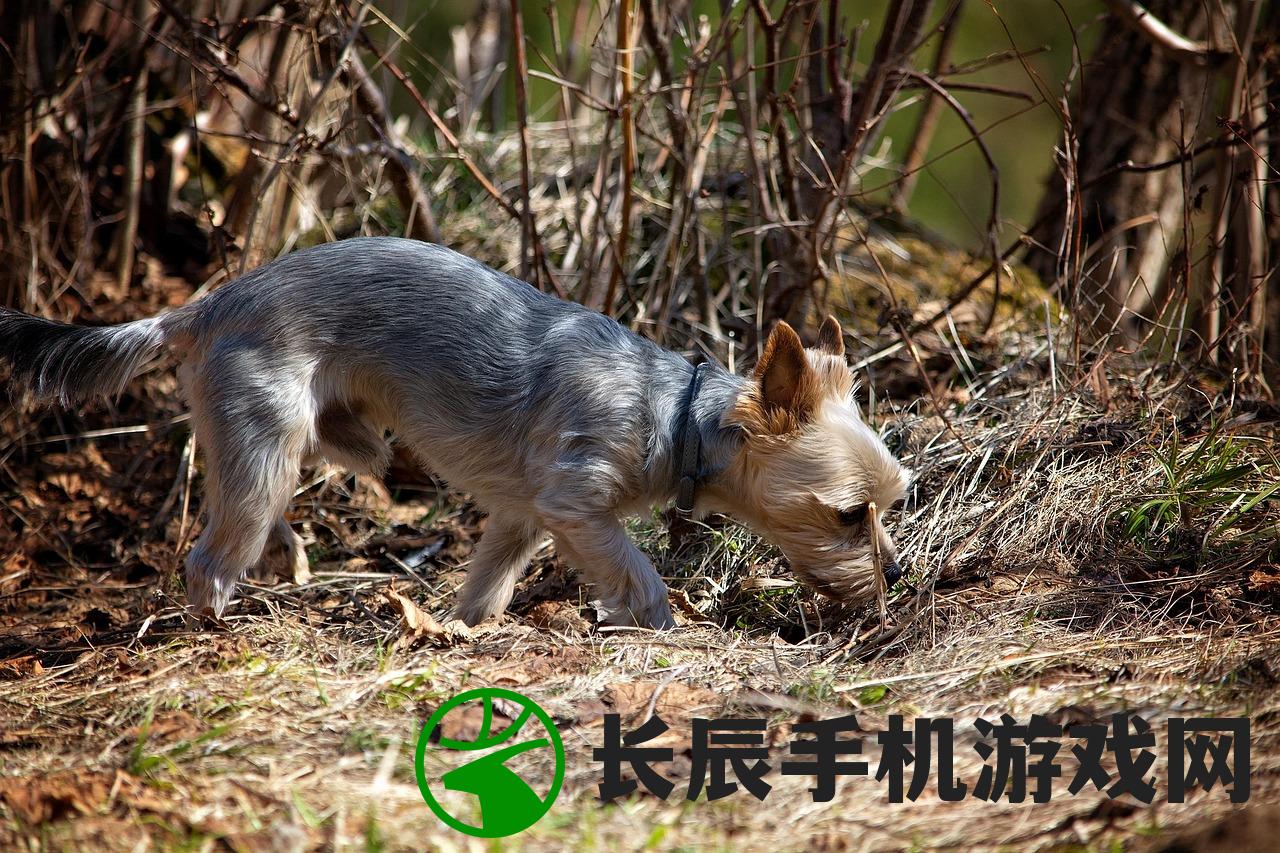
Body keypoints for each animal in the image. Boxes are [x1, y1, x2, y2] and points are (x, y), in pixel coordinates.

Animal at [5, 235, 916, 627]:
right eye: (848, 514)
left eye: (893, 504)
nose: (900, 573)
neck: (676, 415)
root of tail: (204, 306)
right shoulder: (577, 504)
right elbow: (639, 572)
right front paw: (659, 626)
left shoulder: (520, 516)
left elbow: (490, 583)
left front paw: (463, 630)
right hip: (263, 453)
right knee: (210, 558)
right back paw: (217, 626)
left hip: (314, 429)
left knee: (347, 449)